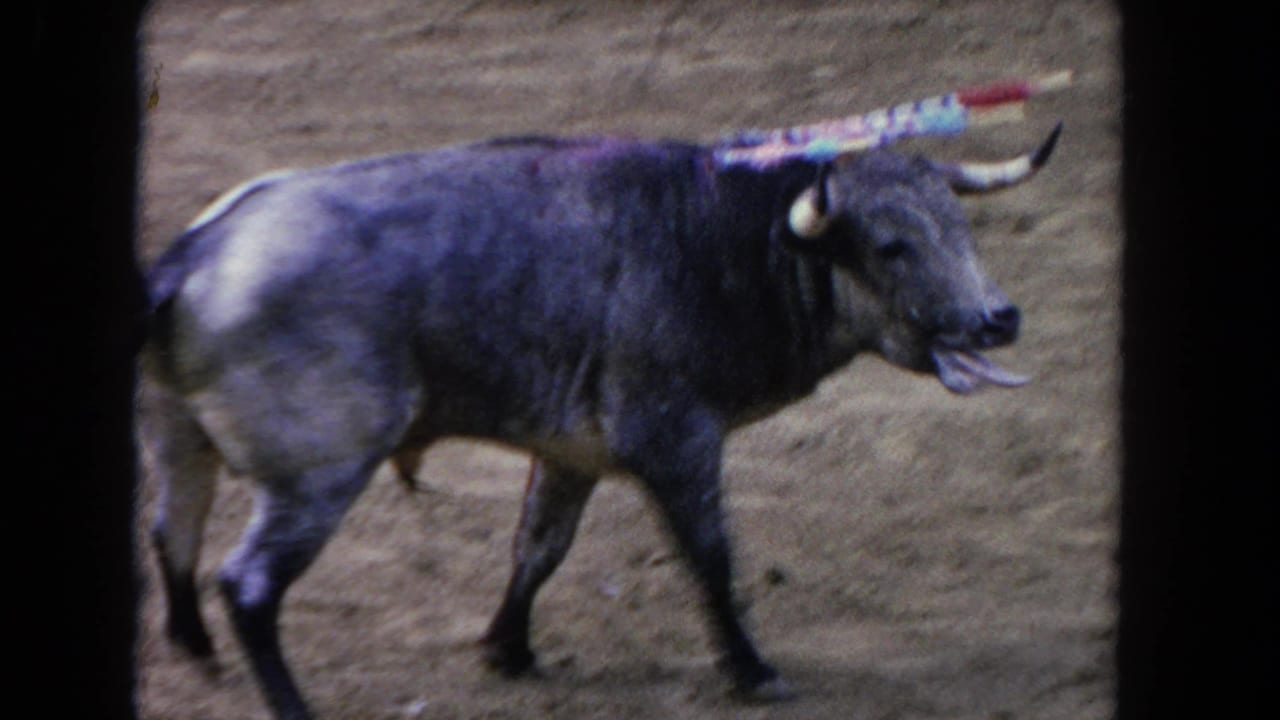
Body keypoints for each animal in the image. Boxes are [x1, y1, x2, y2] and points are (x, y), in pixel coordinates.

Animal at [139, 85, 1062, 719]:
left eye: (960, 225)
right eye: (891, 245)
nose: (998, 318)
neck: (725, 236)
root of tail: (199, 251)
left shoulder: (569, 451)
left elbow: (539, 547)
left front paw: (508, 648)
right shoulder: (677, 439)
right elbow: (710, 554)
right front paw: (752, 669)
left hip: (180, 443)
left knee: (171, 529)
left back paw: (194, 649)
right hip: (317, 477)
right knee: (248, 584)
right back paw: (286, 700)